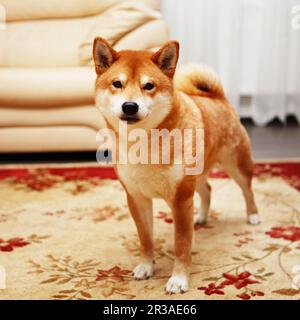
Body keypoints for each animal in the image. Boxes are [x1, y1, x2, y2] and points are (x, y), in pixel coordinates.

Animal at [92, 37, 258, 292]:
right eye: (117, 83)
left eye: (149, 86)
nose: (130, 106)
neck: (143, 143)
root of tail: (217, 98)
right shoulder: (137, 198)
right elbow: (146, 239)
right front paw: (146, 266)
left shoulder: (180, 200)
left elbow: (181, 244)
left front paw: (178, 279)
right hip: (197, 175)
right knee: (207, 189)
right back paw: (201, 217)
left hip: (236, 164)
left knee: (247, 189)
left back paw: (253, 215)